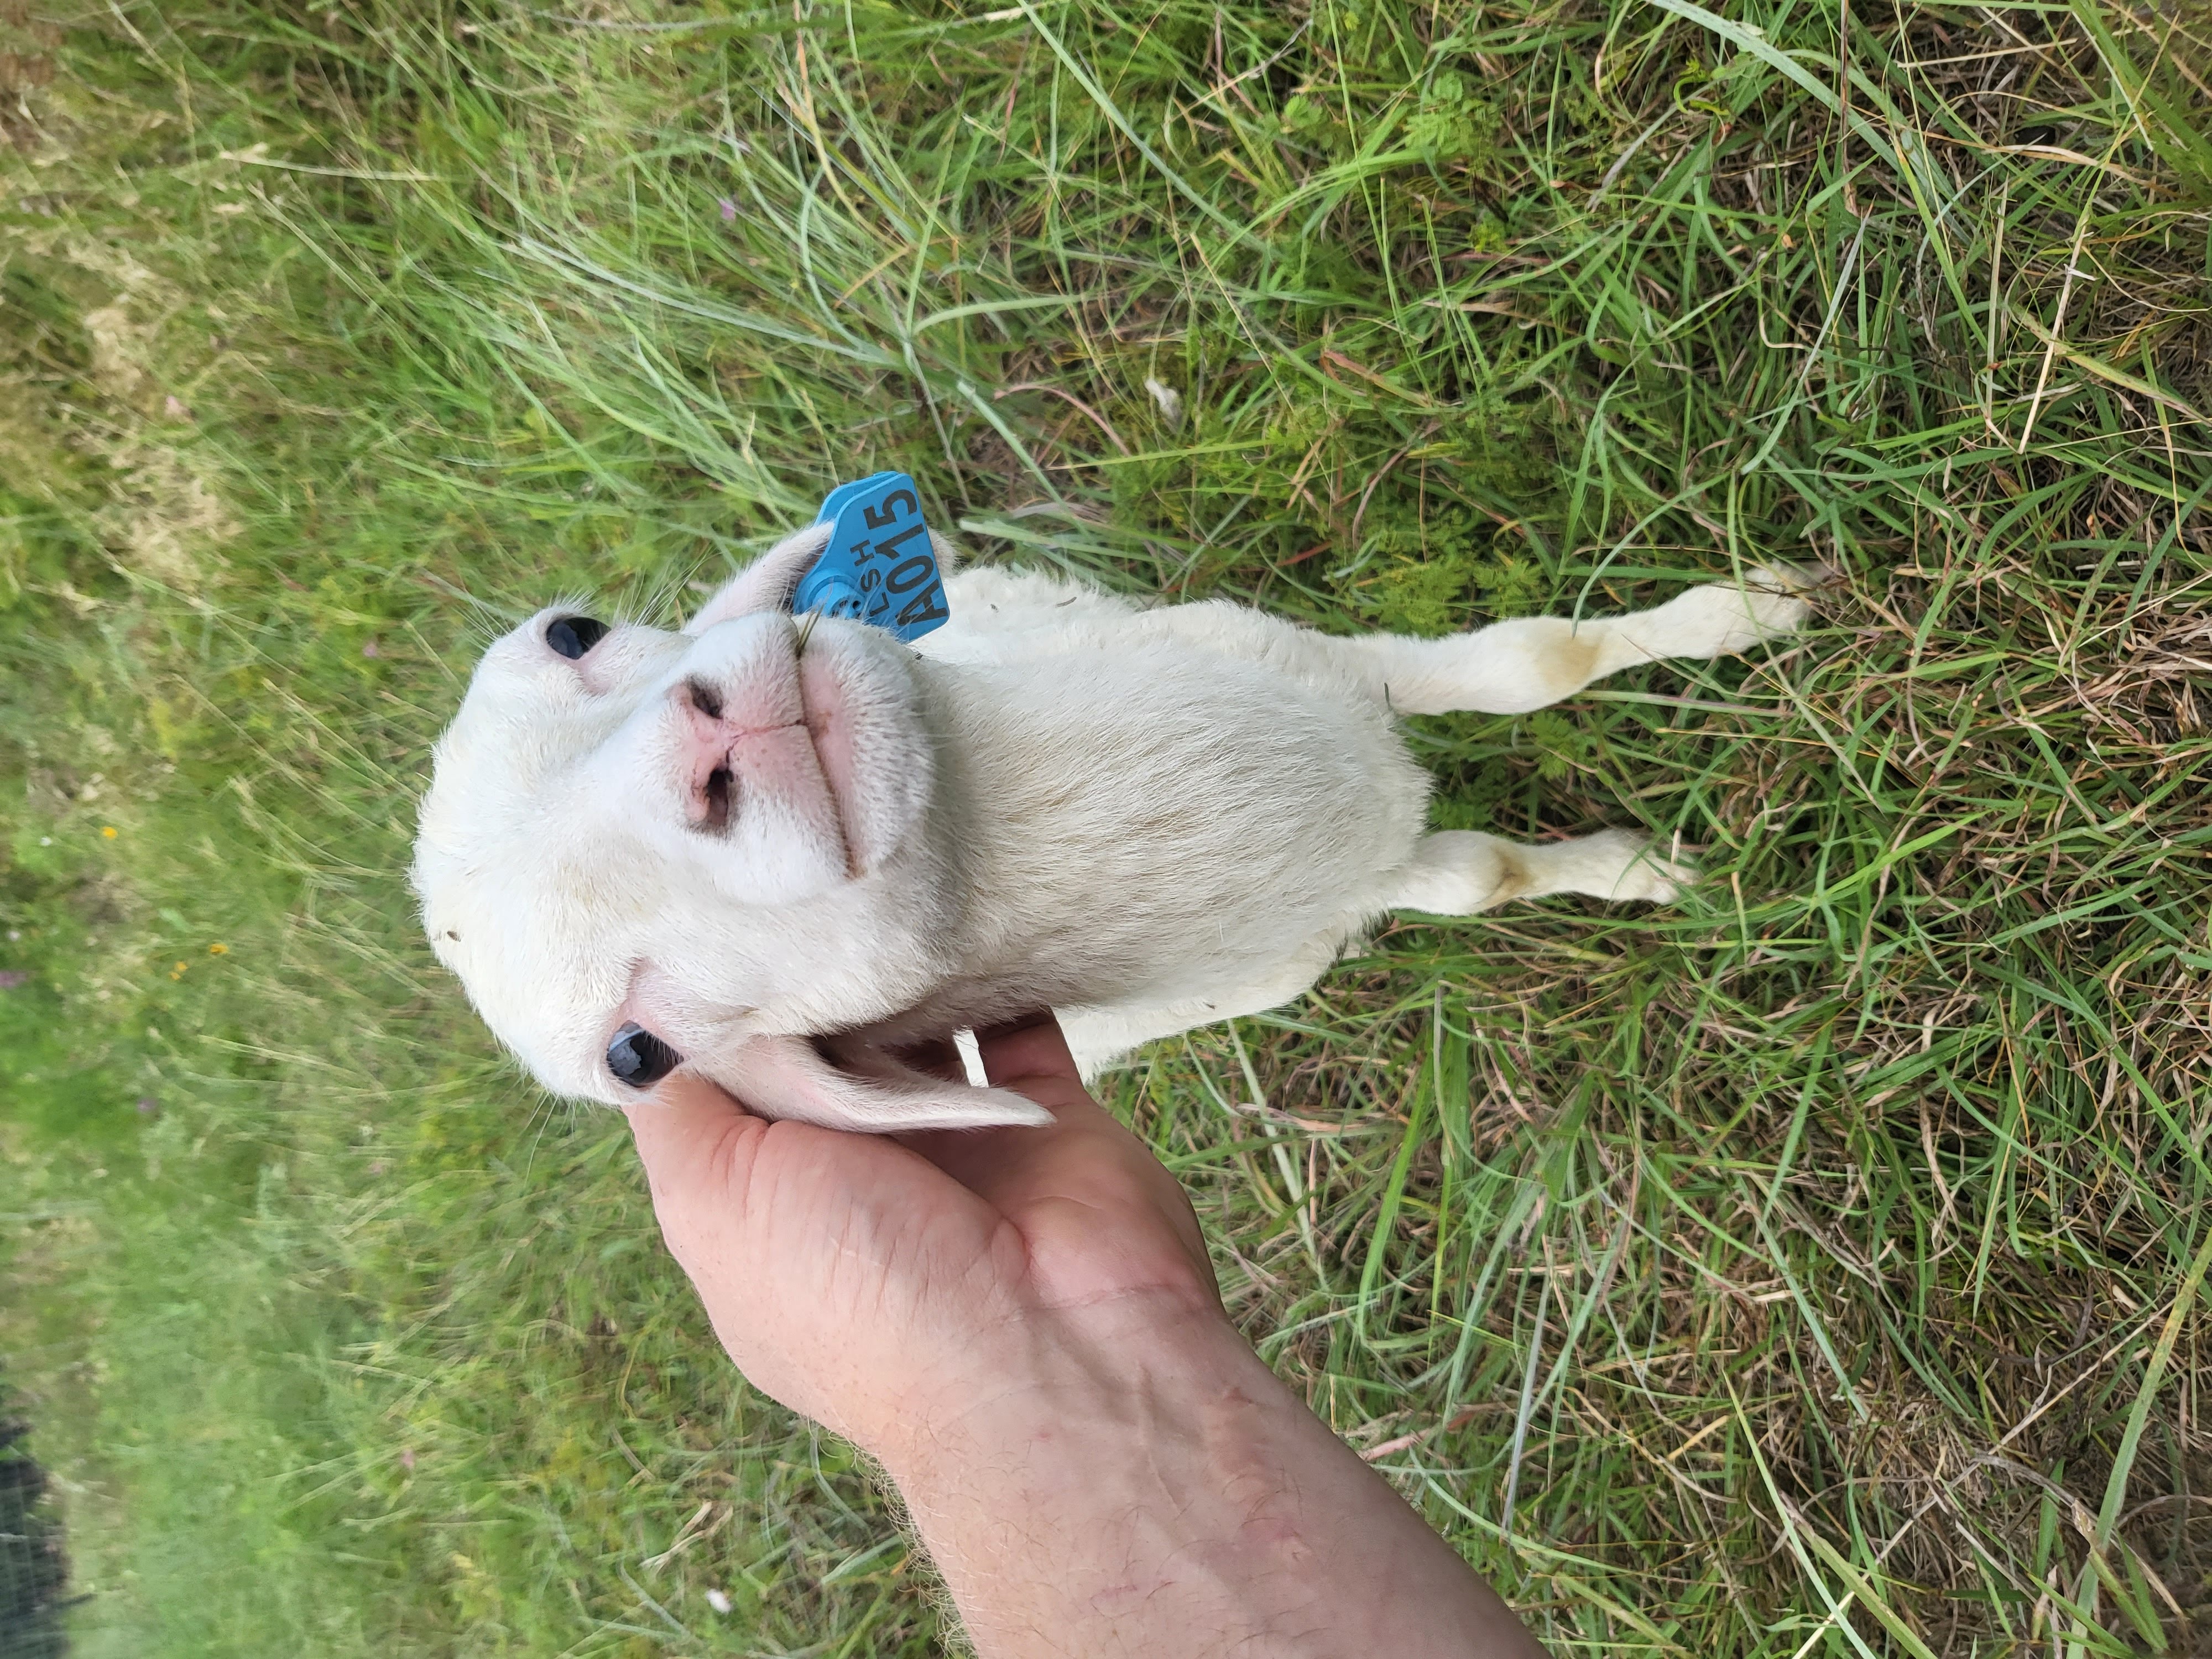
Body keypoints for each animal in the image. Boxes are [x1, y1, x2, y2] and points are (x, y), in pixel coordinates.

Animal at [412, 519, 1812, 1131]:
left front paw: (1747, 612)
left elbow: (1533, 663)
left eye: (573, 633)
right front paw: (1639, 872)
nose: (705, 746)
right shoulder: (1330, 920)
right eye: (636, 1055)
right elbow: (1480, 879)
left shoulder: (1305, 660)